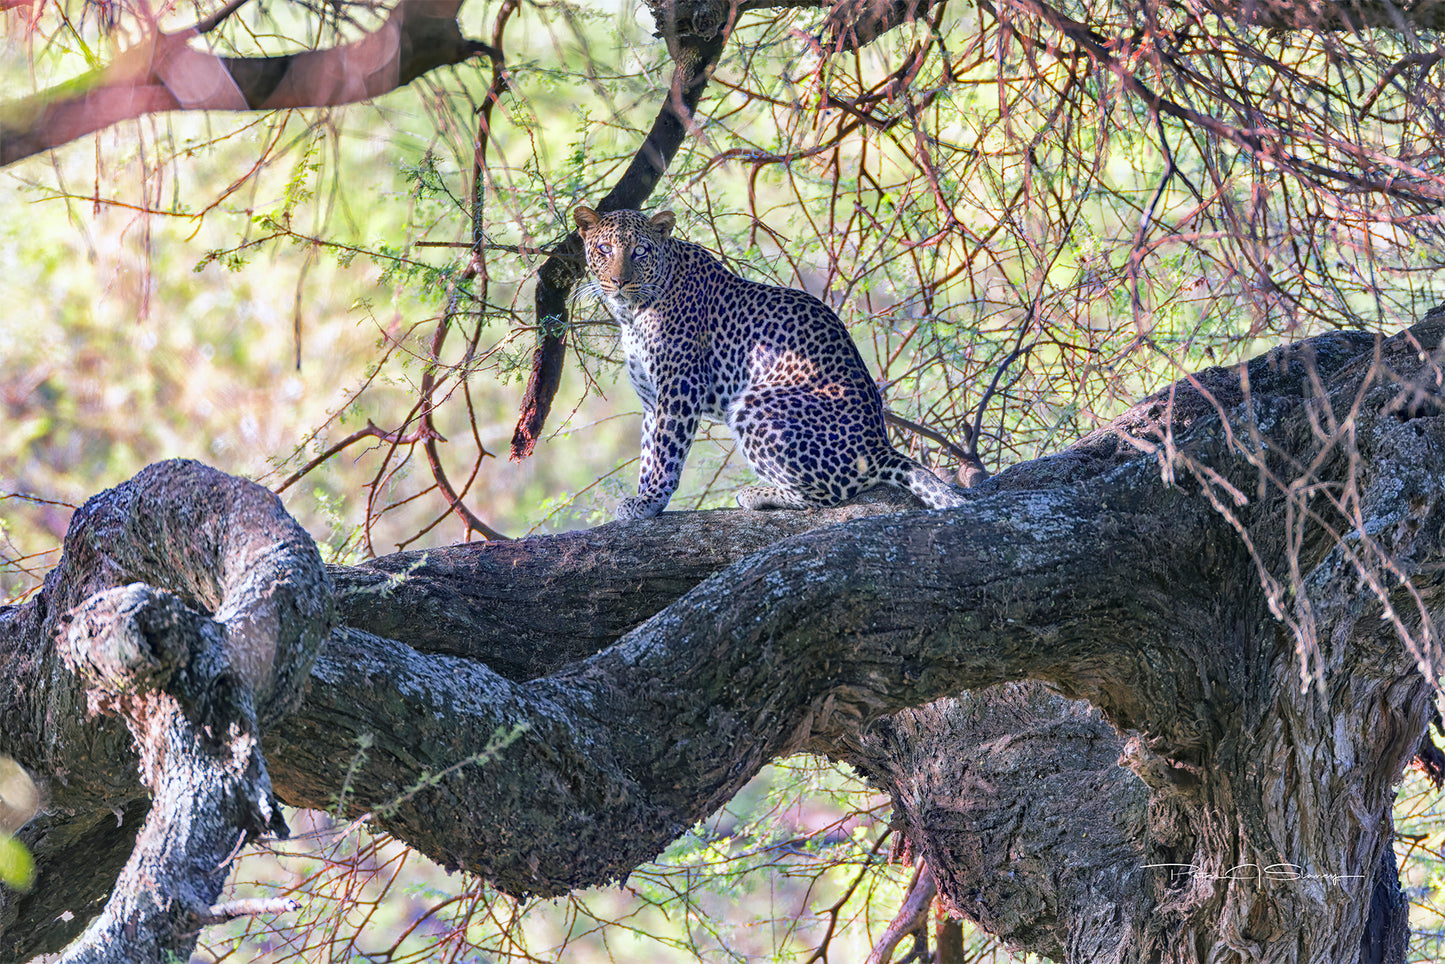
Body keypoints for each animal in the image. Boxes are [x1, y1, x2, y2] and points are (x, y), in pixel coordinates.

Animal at [573, 205, 968, 521]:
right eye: (604, 249)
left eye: (640, 251)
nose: (618, 281)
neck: (632, 313)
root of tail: (878, 446)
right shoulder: (652, 399)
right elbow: (648, 451)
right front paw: (643, 496)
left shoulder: (681, 387)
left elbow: (666, 451)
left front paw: (650, 501)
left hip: (755, 405)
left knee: (825, 496)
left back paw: (756, 494)